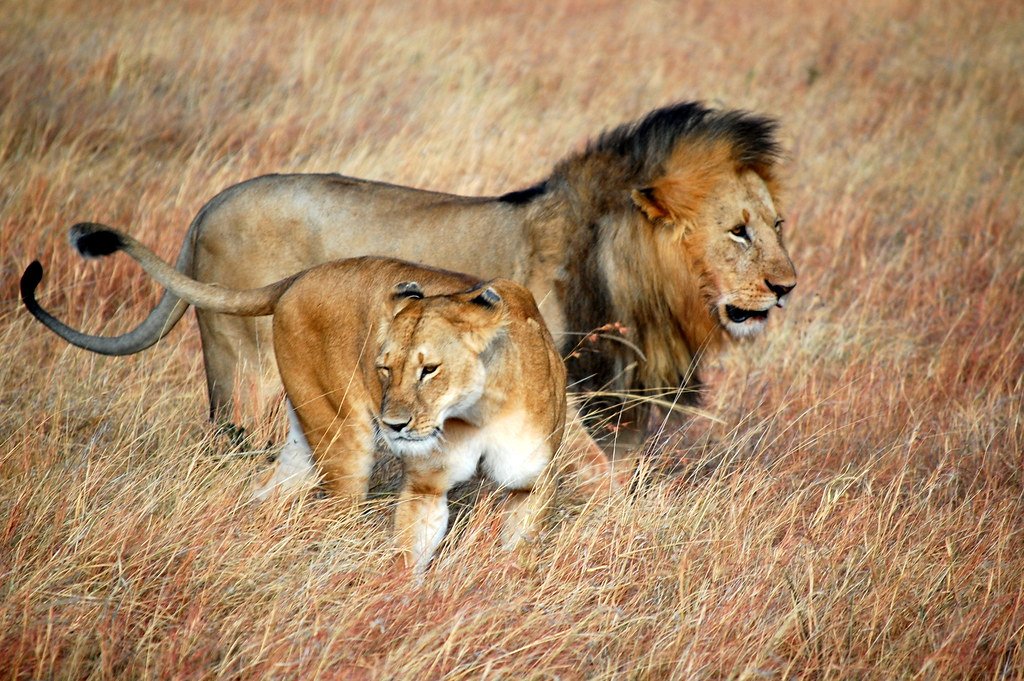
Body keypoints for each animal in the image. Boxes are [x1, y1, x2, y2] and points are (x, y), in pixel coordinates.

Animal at [29, 223, 567, 573]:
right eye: (384, 368)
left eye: (429, 369)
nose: (394, 425)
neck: (476, 410)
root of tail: (303, 275)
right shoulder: (426, 485)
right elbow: (408, 554)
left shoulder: (531, 482)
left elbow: (516, 550)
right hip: (342, 434)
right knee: (336, 511)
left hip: (303, 439)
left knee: (267, 491)